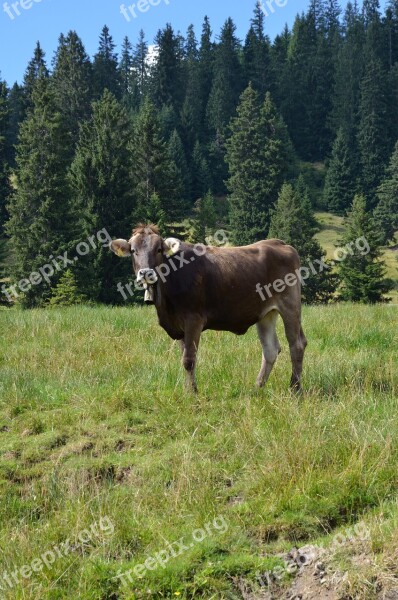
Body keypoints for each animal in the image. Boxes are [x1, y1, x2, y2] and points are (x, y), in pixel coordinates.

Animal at [111, 225, 308, 394]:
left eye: (158, 249)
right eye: (133, 250)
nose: (146, 273)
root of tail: (279, 243)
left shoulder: (193, 319)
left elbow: (189, 359)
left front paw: (192, 393)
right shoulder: (180, 326)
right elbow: (184, 356)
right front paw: (187, 389)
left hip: (290, 305)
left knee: (296, 345)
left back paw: (295, 388)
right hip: (265, 313)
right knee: (270, 349)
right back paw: (257, 388)